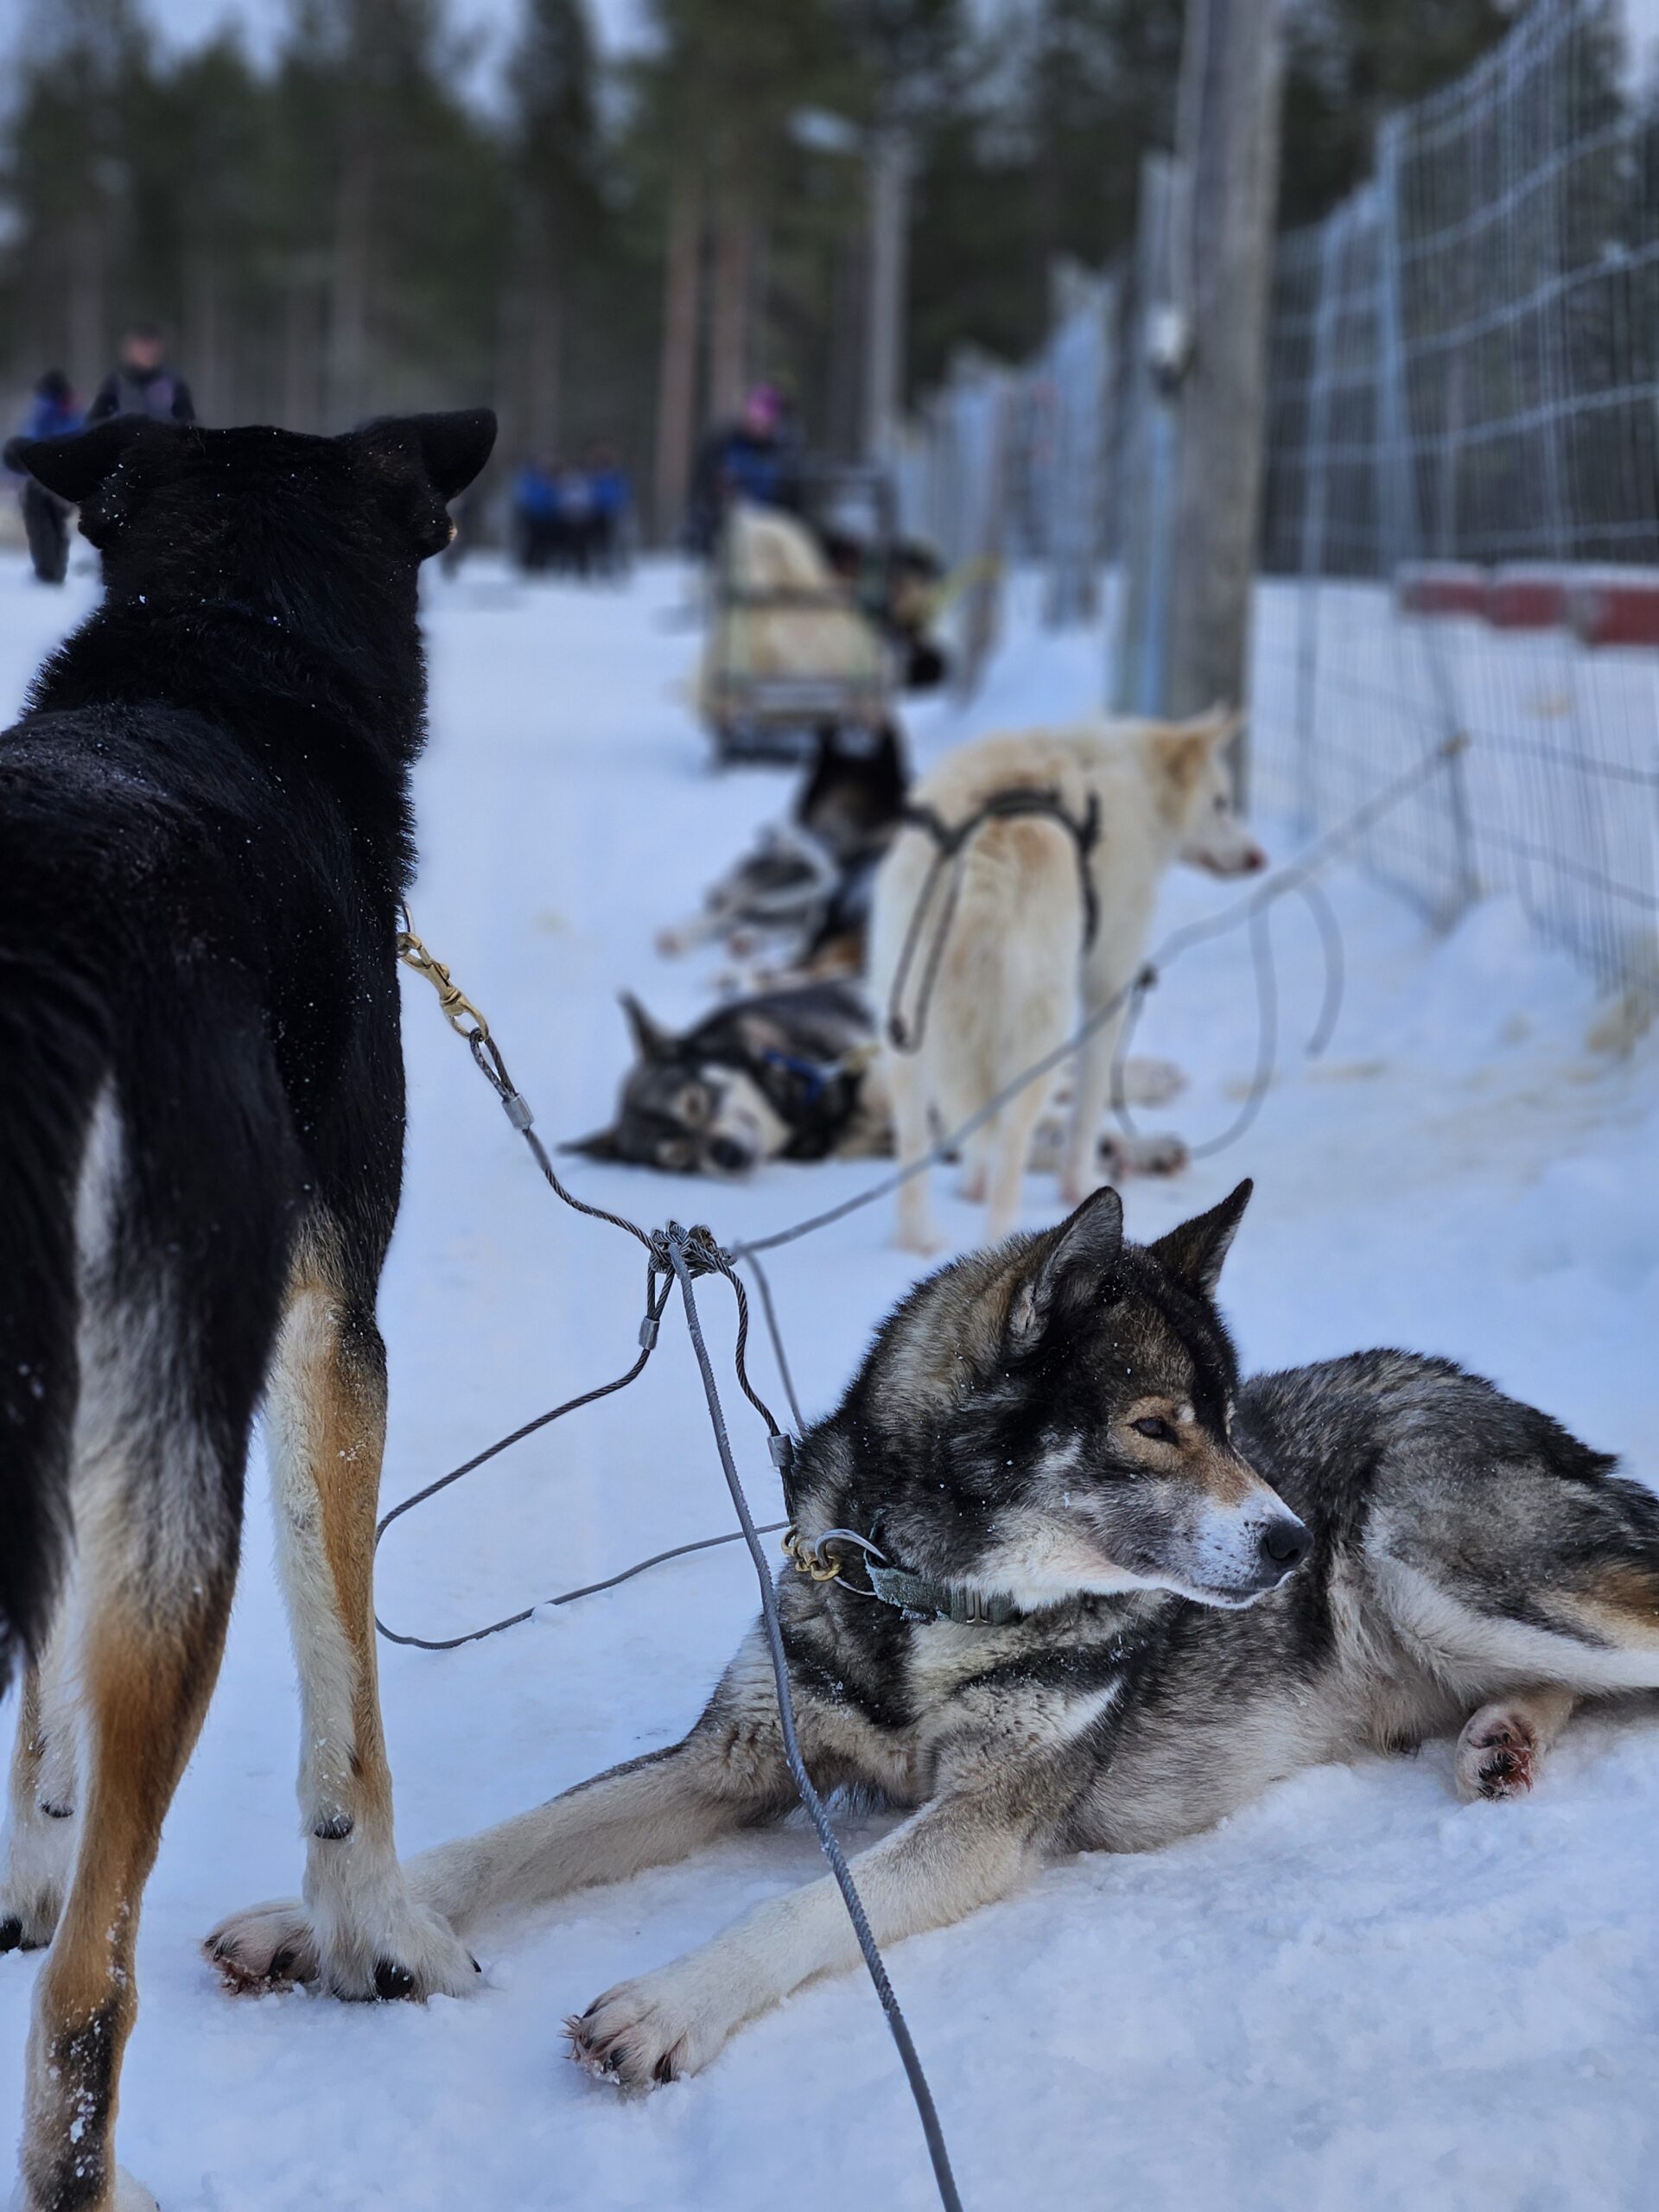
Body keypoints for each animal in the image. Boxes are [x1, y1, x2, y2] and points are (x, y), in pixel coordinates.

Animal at [0, 405, 495, 2211]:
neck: (226, 659)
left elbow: (40, 1719)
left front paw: (25, 1854)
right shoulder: (328, 1332)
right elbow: (346, 1698)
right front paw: (374, 1930)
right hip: (183, 1513)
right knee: (94, 1992)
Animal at [201, 1178, 1659, 2093]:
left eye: (1233, 1423)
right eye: (1157, 1426)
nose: (1290, 1543)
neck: (932, 1604)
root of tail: (1505, 1406)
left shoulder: (983, 1821)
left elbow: (802, 1906)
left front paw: (674, 2002)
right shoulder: (738, 1757)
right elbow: (513, 1840)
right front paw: (334, 1919)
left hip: (1425, 1565)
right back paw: (1502, 1740)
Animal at [656, 720, 910, 977]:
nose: (767, 833)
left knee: (765, 918)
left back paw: (747, 937)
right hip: (783, 883)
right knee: (738, 906)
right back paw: (684, 935)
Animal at [869, 706, 1268, 1253]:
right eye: (1223, 803)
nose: (1258, 857)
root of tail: (982, 844)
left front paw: (970, 1185)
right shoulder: (1108, 982)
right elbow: (1089, 1104)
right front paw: (1077, 1184)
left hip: (906, 1035)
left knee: (918, 1141)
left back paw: (920, 1239)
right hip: (1038, 1041)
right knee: (1012, 1146)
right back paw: (1004, 1237)